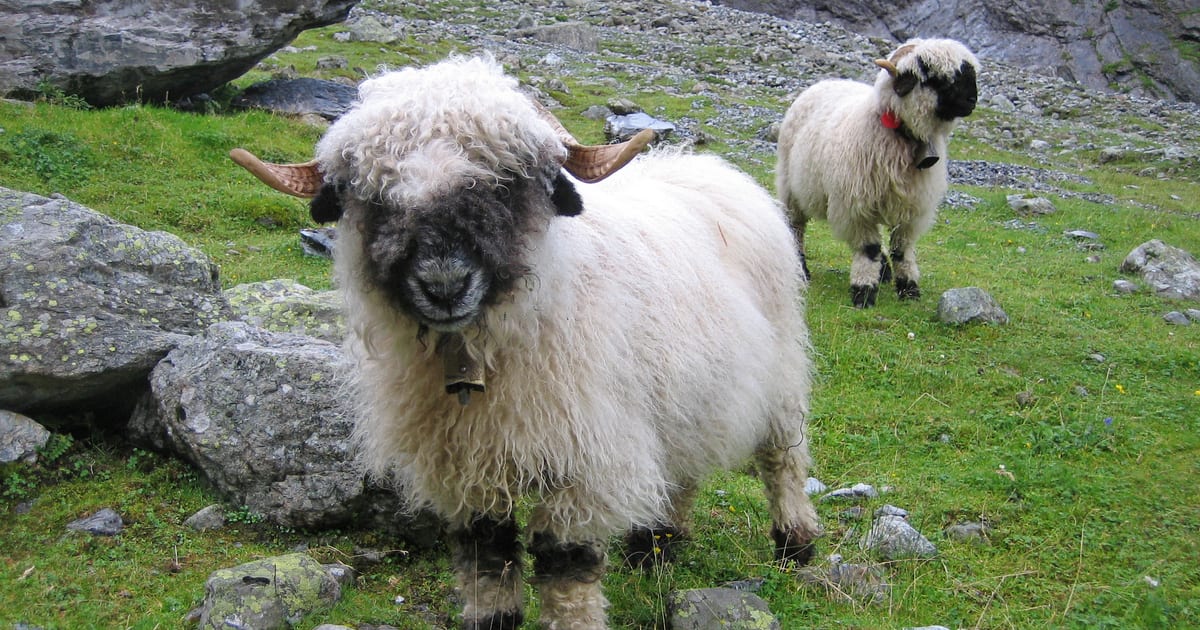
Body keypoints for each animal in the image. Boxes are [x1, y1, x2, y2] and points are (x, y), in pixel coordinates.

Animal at [230, 55, 820, 629]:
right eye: (373, 196)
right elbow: (486, 559)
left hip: (781, 372)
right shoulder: (466, 469)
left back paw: (795, 545)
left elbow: (565, 568)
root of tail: (706, 167)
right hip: (688, 391)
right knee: (684, 465)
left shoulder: (582, 462)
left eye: (506, 183)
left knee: (783, 459)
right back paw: (655, 546)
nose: (445, 285)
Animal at [776, 38, 979, 307]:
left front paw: (909, 289)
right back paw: (802, 268)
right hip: (791, 187)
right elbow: (869, 248)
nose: (972, 100)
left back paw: (884, 271)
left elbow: (902, 250)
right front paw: (863, 291)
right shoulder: (856, 207)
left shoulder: (912, 210)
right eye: (935, 77)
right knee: (795, 227)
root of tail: (826, 81)